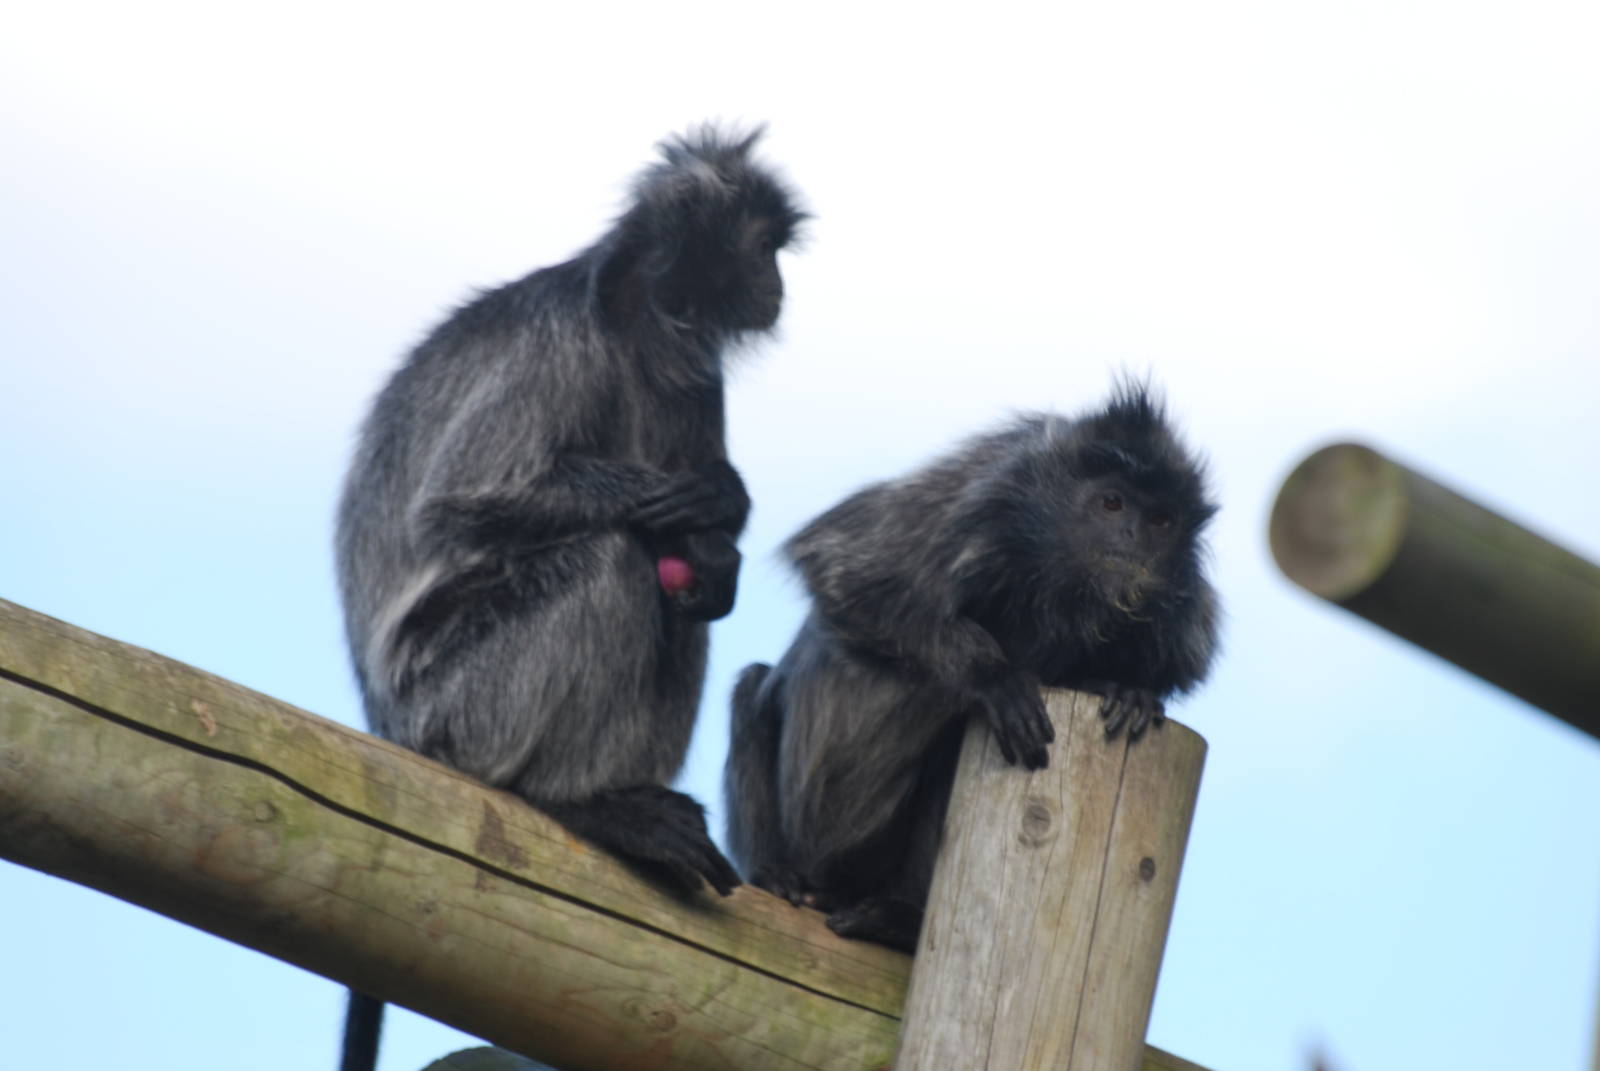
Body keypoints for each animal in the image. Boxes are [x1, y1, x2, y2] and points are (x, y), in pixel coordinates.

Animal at [334, 126, 804, 1071]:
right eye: (764, 247)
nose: (782, 284)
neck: (637, 330)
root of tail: (386, 724)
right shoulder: (560, 346)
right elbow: (455, 506)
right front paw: (706, 504)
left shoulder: (695, 378)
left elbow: (702, 567)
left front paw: (716, 527)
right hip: (457, 707)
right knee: (612, 559)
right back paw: (580, 801)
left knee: (678, 605)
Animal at [723, 382, 1219, 954]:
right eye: (1112, 503)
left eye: (1161, 522)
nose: (1134, 540)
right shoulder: (979, 493)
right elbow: (842, 571)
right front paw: (992, 677)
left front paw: (1122, 689)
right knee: (751, 687)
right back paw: (777, 875)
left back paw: (896, 918)